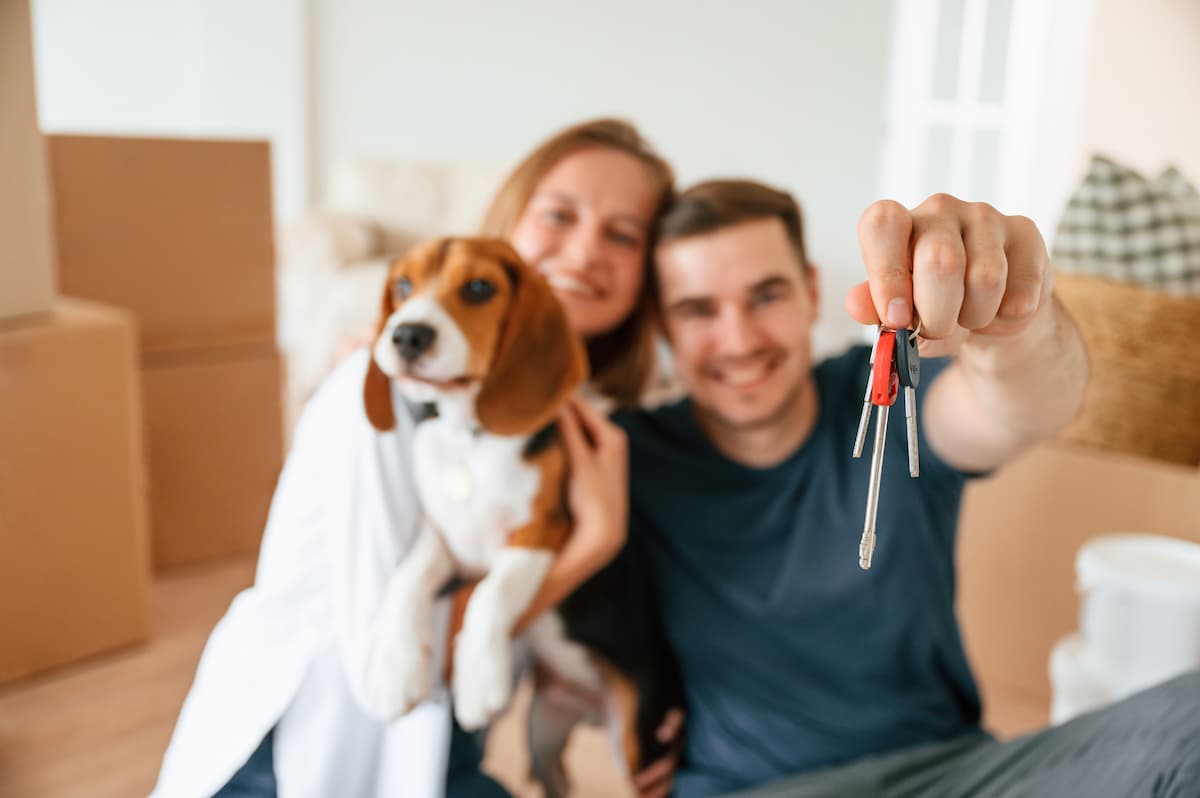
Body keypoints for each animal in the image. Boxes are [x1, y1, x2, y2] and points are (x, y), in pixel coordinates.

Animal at [360, 235, 681, 792]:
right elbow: (406, 580)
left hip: (640, 745)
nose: (407, 335)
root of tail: (587, 706)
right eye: (402, 284)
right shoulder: (441, 536)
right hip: (542, 734)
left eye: (479, 288)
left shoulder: (545, 528)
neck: (471, 435)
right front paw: (395, 671)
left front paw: (477, 679)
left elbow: (495, 591)